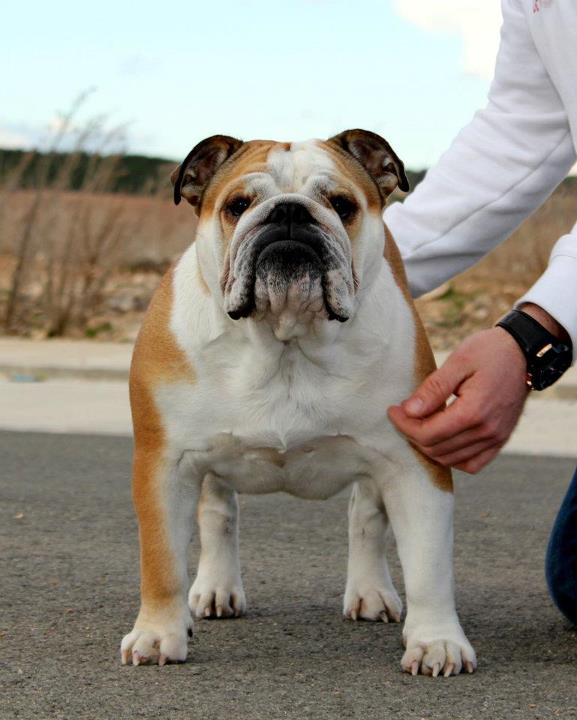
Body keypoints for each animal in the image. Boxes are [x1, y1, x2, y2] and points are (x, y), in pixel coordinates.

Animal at [120, 130, 476, 677]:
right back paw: (217, 587)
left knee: (366, 517)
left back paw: (370, 592)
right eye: (238, 205)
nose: (289, 212)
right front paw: (159, 634)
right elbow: (161, 562)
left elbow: (429, 565)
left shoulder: (416, 466)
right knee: (218, 511)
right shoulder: (164, 465)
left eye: (342, 205)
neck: (285, 340)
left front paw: (437, 640)